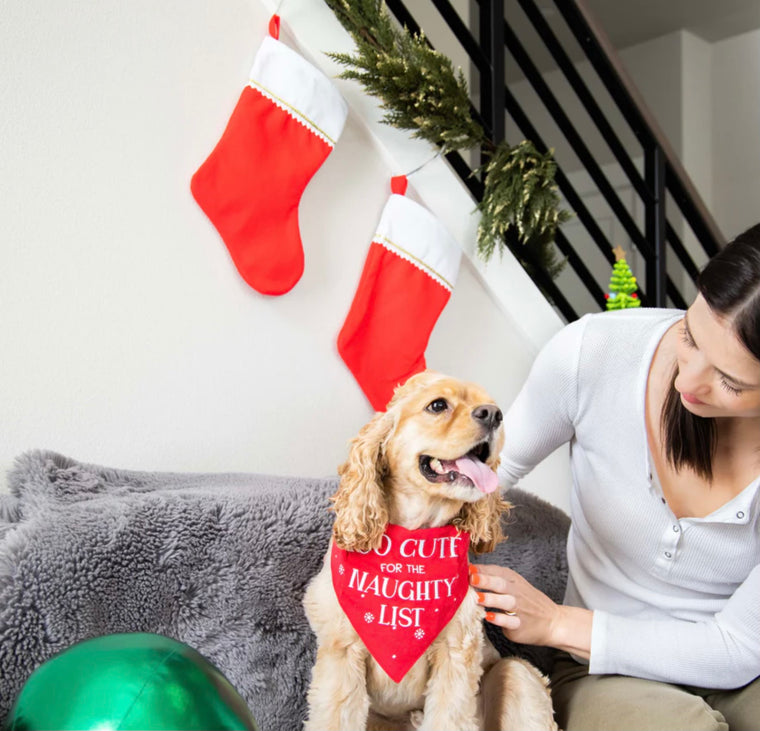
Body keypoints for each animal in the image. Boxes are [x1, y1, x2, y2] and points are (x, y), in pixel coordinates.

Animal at [302, 372, 560, 731]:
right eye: (437, 405)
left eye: (493, 406)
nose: (494, 415)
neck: (414, 542)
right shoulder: (341, 651)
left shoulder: (457, 654)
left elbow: (449, 716)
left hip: (517, 674)